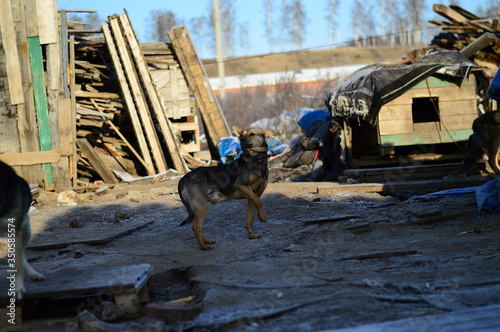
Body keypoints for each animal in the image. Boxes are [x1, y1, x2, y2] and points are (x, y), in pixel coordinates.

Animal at [0, 161, 45, 298]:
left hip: (26, 231)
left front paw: (18, 289)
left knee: (22, 256)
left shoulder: (15, 231)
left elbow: (18, 264)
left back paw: (34, 274)